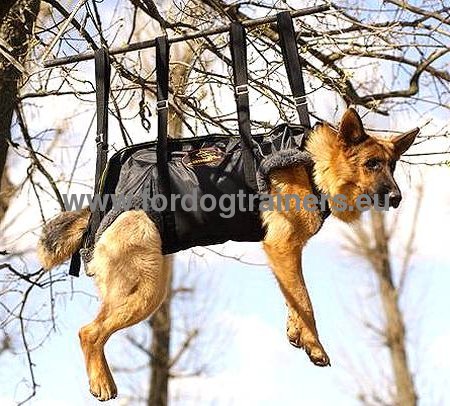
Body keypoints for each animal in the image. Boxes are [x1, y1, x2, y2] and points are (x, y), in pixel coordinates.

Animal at [37, 108, 418, 400]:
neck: (314, 163)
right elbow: (306, 301)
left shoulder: (286, 253)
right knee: (89, 332)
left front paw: (296, 332)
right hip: (146, 290)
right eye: (372, 164)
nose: (398, 198)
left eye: (392, 166)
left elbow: (294, 296)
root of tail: (101, 209)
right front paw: (314, 344)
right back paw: (101, 382)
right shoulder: (281, 246)